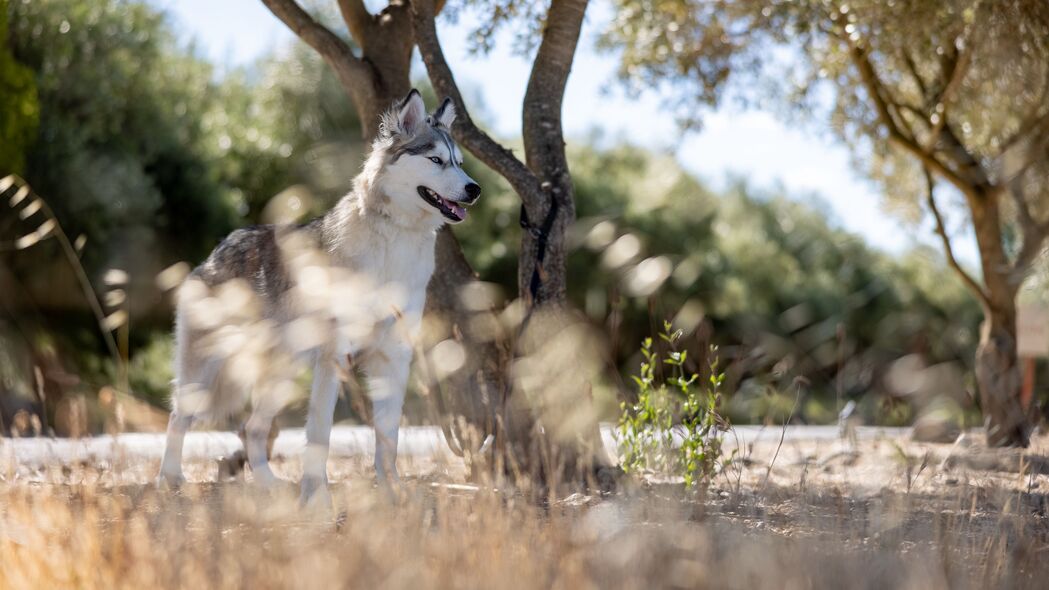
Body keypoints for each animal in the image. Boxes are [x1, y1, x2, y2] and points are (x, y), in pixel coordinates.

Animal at [155, 89, 480, 503]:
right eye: (436, 160)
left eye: (460, 163)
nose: (475, 189)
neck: (396, 240)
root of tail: (218, 249)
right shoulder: (334, 358)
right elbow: (320, 434)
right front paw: (316, 499)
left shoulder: (394, 358)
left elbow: (388, 439)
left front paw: (393, 494)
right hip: (208, 375)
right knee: (178, 418)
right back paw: (169, 480)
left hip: (282, 376)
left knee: (251, 428)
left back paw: (270, 487)